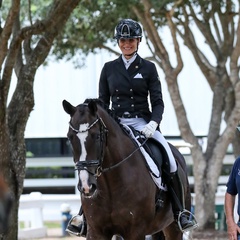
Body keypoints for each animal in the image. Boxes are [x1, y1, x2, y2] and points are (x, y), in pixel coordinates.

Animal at [62, 98, 192, 239]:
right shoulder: (96, 231)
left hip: (173, 227)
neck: (111, 185)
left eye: (96, 136)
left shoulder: (136, 231)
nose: (86, 186)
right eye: (69, 137)